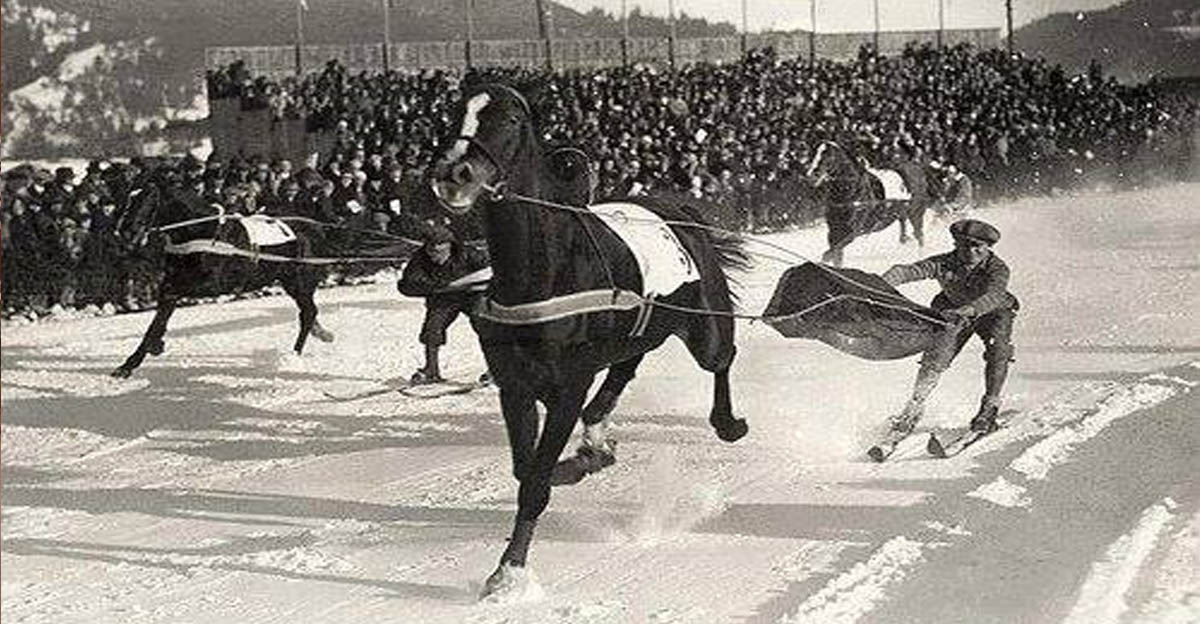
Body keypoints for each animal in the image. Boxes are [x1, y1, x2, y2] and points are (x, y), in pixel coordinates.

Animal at [110, 168, 333, 376]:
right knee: (308, 312)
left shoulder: (211, 286)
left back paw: (294, 355)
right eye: (129, 198)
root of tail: (315, 226)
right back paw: (320, 333)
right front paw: (129, 364)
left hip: (300, 280)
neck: (204, 233)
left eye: (149, 197)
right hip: (290, 281)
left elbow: (171, 301)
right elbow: (157, 321)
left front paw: (155, 346)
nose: (125, 232)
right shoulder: (171, 284)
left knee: (308, 313)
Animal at [429, 82, 748, 600]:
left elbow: (536, 476)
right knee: (626, 366)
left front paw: (509, 572)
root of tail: (679, 210)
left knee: (721, 357)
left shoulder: (568, 384)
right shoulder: (515, 385)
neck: (543, 272)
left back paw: (728, 423)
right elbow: (528, 468)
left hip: (706, 327)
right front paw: (588, 457)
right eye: (456, 111)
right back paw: (597, 433)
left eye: (511, 118)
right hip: (640, 328)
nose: (454, 172)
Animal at [806, 140, 936, 266]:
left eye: (829, 155)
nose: (813, 174)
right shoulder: (834, 230)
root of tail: (917, 171)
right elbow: (836, 255)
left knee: (920, 237)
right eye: (815, 154)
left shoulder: (854, 232)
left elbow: (830, 253)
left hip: (916, 215)